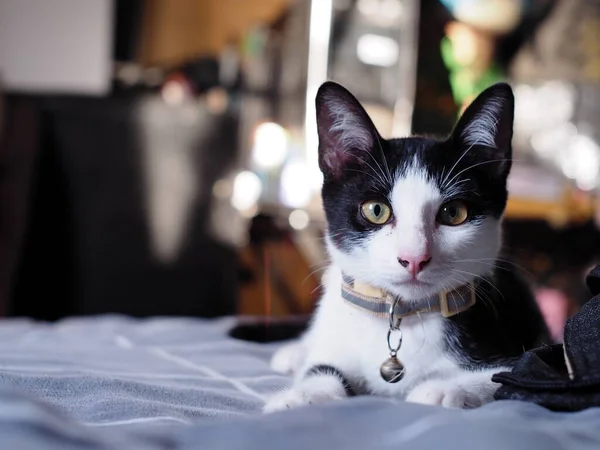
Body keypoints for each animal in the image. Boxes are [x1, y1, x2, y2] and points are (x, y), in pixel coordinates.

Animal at [262, 81, 548, 412]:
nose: (414, 258)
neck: (402, 316)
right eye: (376, 210)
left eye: (454, 213)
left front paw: (443, 390)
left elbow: (508, 377)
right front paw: (299, 397)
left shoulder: (515, 345)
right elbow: (322, 369)